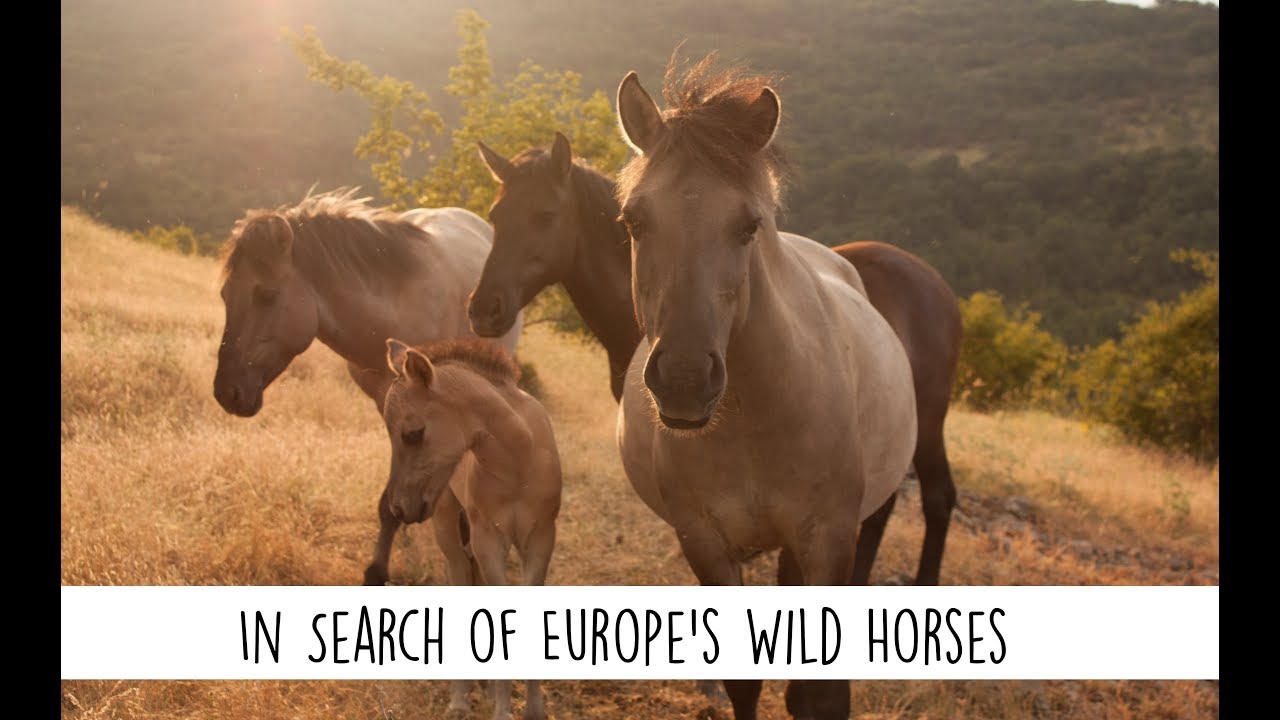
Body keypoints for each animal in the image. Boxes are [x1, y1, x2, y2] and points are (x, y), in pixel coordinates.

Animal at [212, 187, 523, 586]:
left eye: (266, 294)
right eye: (224, 295)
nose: (226, 392)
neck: (394, 310)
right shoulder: (389, 404)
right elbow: (391, 494)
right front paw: (382, 558)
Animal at [383, 337, 561, 720]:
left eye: (413, 434)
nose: (399, 507)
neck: (518, 463)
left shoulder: (541, 538)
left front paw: (534, 709)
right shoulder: (488, 540)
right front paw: (502, 710)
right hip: (449, 525)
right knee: (462, 581)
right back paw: (461, 698)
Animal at [469, 136, 960, 587]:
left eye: (545, 216)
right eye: (495, 217)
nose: (483, 308)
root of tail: (933, 281)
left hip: (929, 423)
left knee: (937, 498)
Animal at [613, 56, 918, 719]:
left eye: (749, 225)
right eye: (634, 221)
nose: (684, 379)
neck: (753, 418)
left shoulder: (829, 537)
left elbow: (822, 692)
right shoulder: (706, 542)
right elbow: (743, 680)